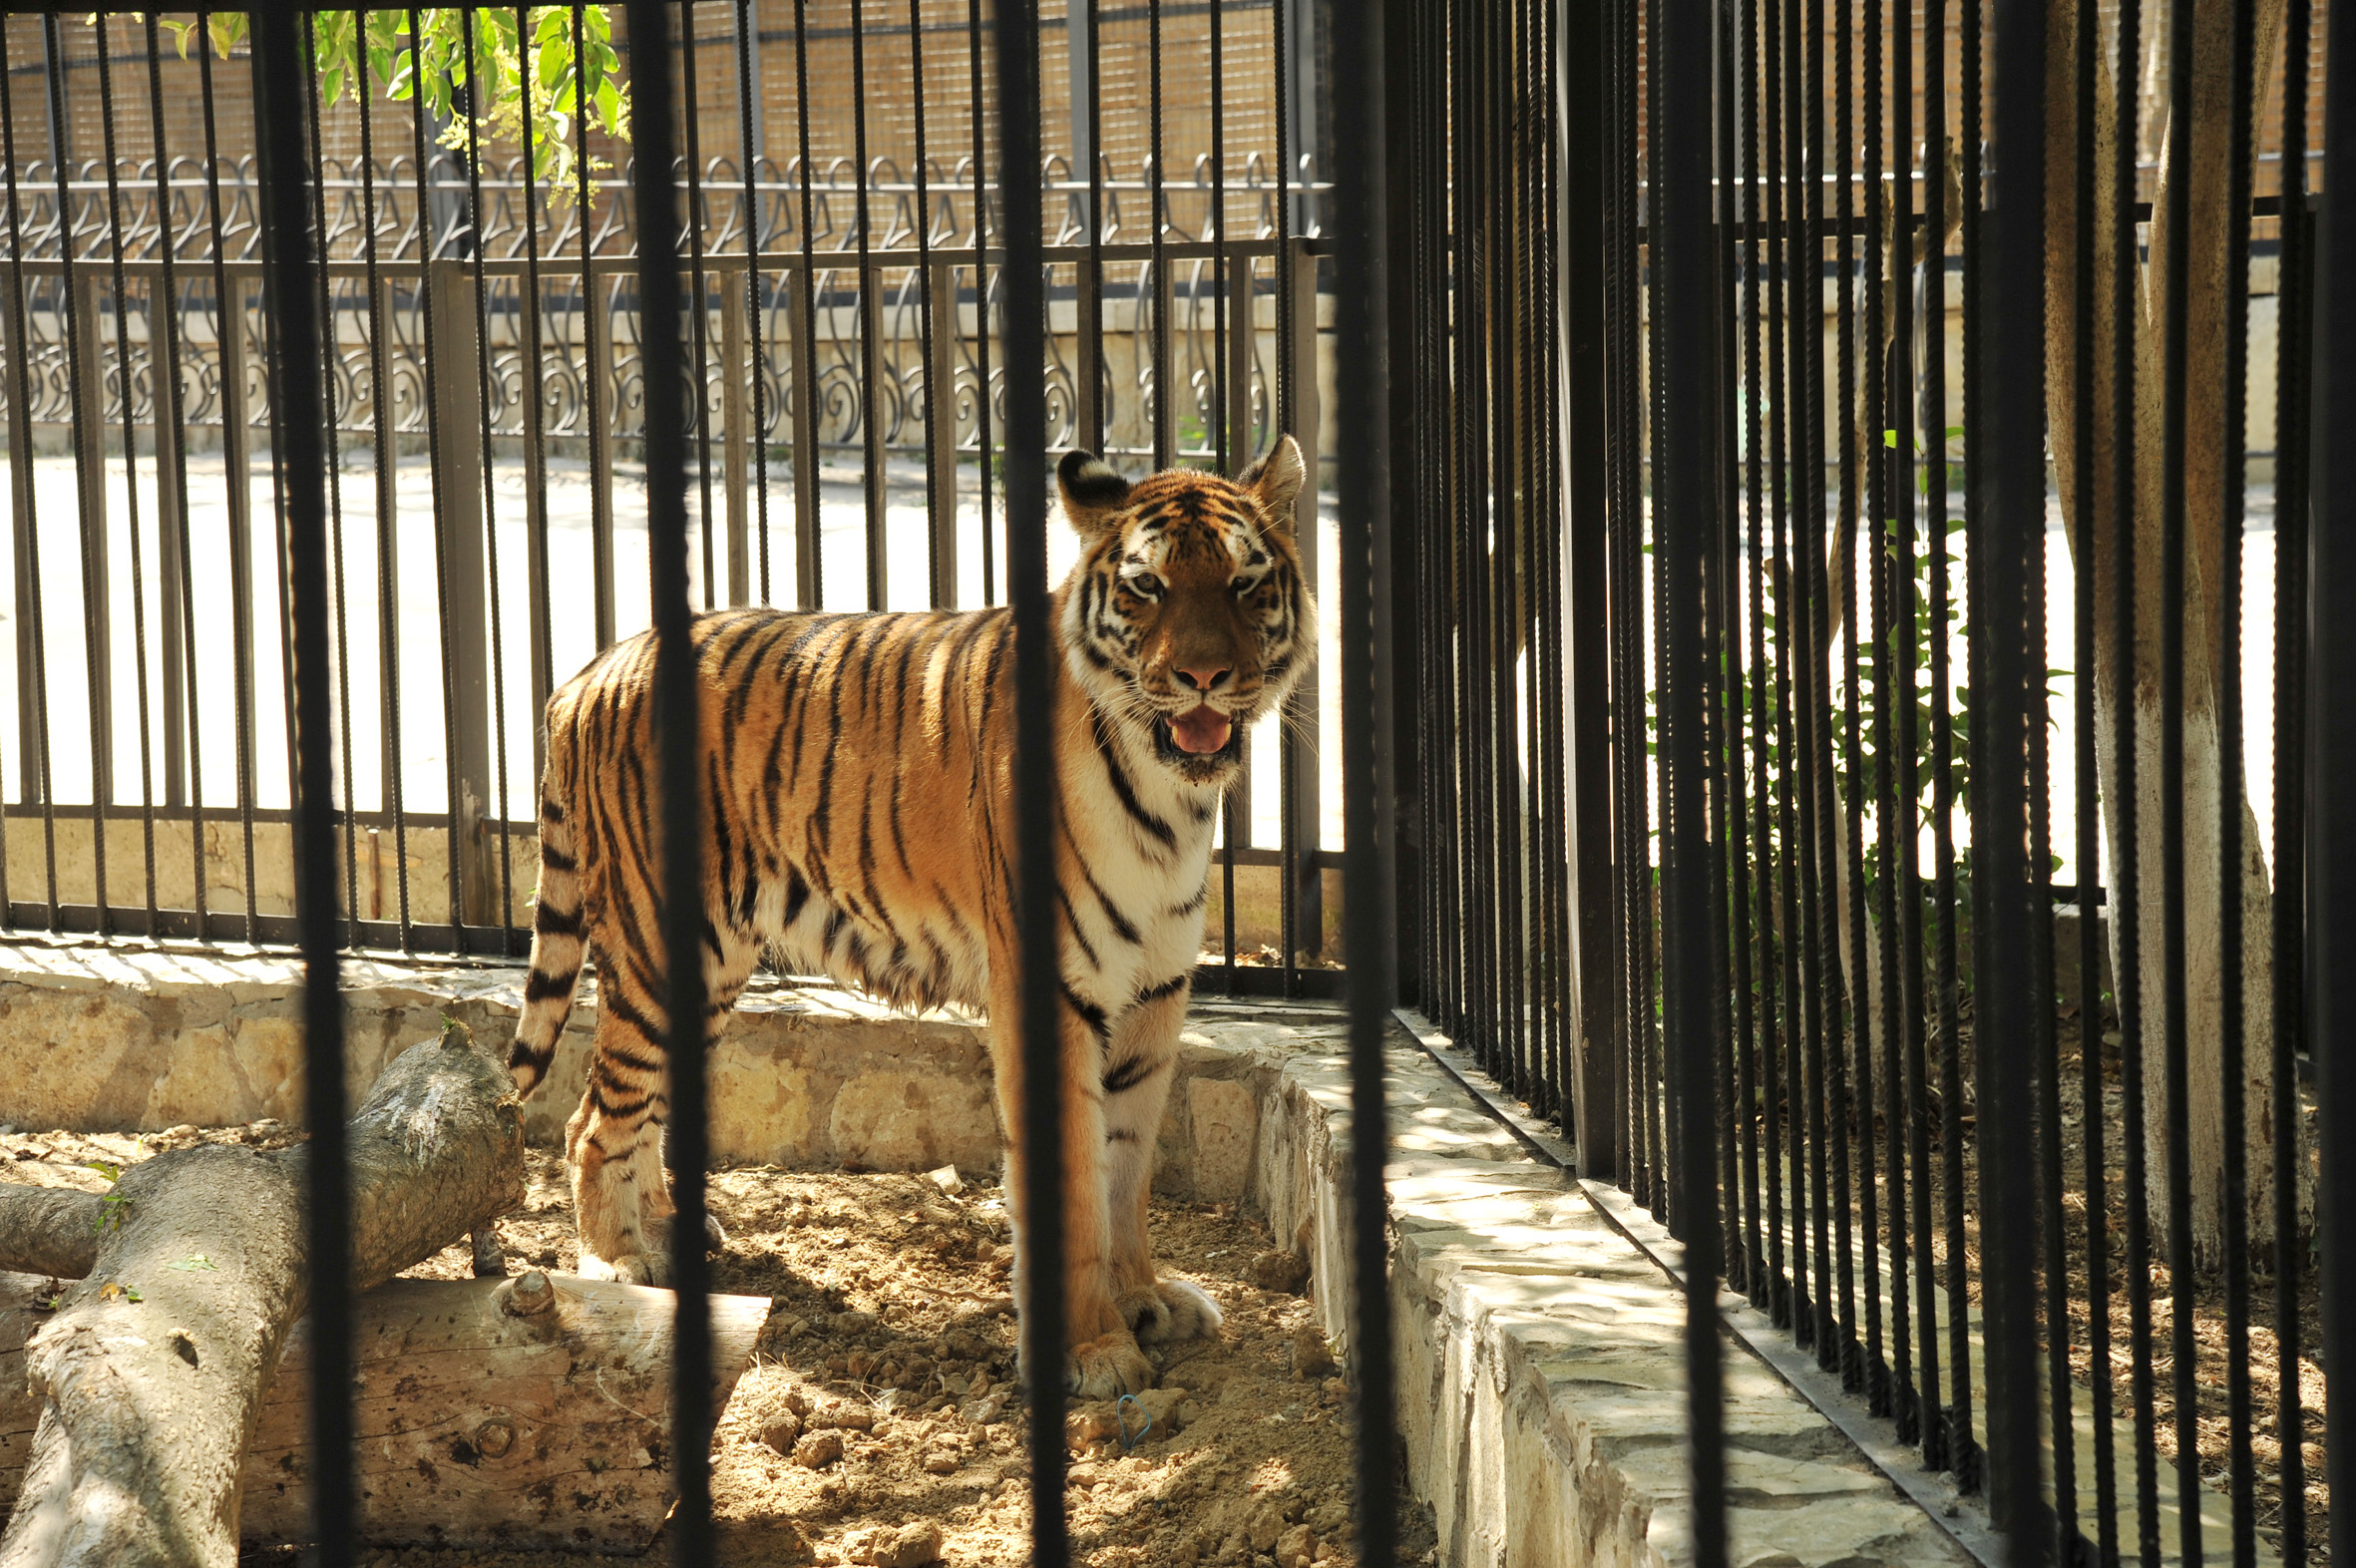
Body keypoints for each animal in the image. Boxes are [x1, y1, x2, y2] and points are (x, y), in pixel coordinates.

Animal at [509, 430, 1319, 1393]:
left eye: (1246, 583)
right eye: (1147, 586)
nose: (1202, 678)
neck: (1169, 798)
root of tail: (592, 667)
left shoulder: (1156, 993)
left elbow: (1128, 1171)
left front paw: (1147, 1301)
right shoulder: (1053, 995)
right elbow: (1078, 1188)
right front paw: (1095, 1351)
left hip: (712, 964)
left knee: (645, 1108)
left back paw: (671, 1231)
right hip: (659, 943)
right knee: (594, 1119)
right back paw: (621, 1261)